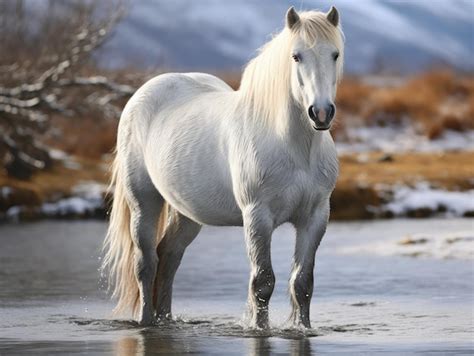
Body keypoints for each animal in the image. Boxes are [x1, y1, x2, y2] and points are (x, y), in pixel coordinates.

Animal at [102, 6, 342, 328]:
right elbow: (263, 282)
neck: (295, 148)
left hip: (187, 213)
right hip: (144, 202)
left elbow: (302, 283)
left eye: (335, 54)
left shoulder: (315, 217)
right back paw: (147, 321)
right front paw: (259, 328)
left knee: (169, 257)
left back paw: (166, 319)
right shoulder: (257, 217)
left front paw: (302, 329)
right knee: (146, 264)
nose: (321, 112)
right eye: (296, 56)